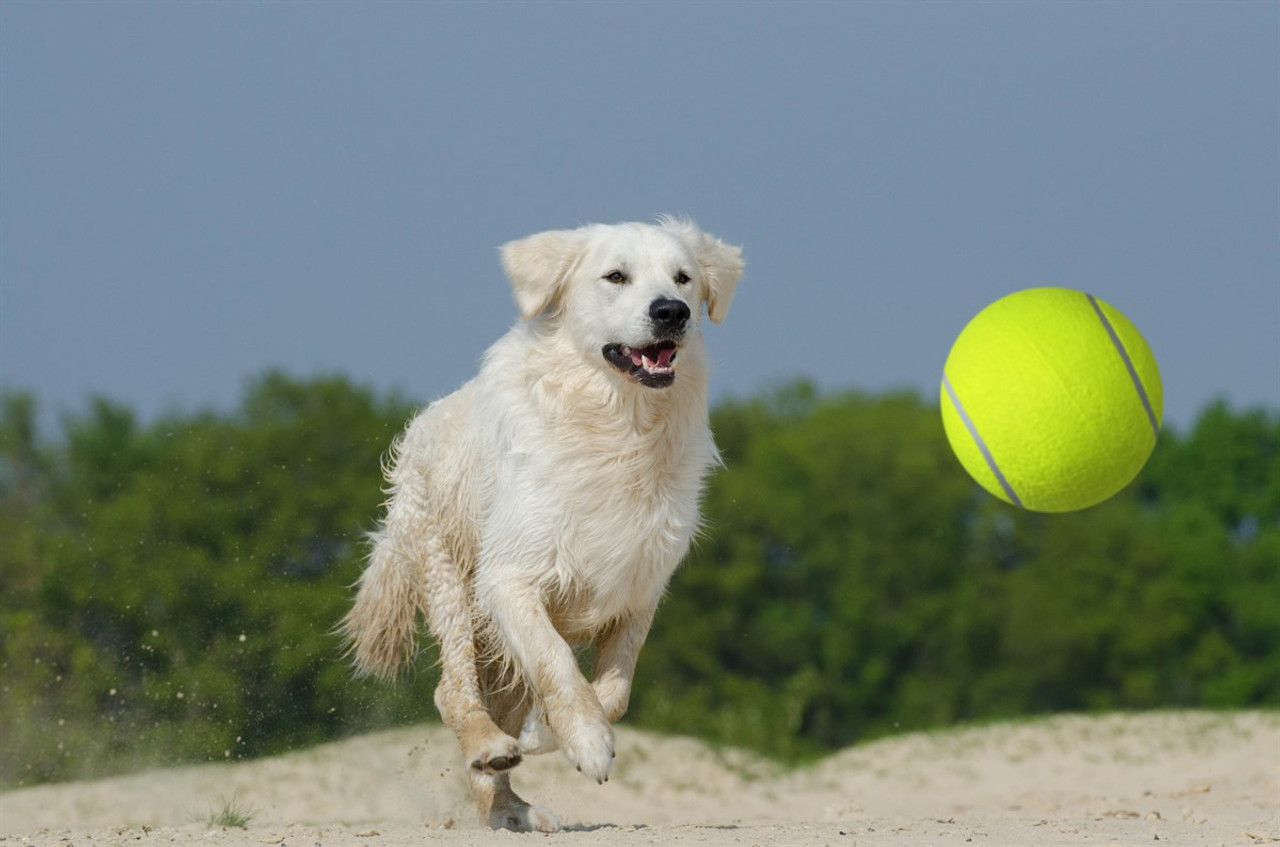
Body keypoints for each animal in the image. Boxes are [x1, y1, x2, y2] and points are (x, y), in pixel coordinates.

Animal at [335, 216, 747, 834]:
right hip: (449, 577)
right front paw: (587, 742)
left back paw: (512, 809)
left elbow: (615, 690)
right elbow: (556, 663)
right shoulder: (510, 577)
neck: (619, 426)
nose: (672, 311)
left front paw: (550, 733)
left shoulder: (641, 585)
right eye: (616, 276)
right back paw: (489, 747)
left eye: (683, 278)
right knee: (452, 690)